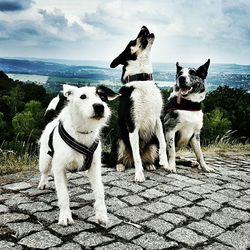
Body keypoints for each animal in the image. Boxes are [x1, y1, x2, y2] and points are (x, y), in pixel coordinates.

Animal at [37, 84, 119, 227]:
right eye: (83, 96)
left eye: (103, 97)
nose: (99, 106)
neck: (83, 131)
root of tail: (51, 122)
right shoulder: (59, 168)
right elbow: (63, 194)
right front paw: (65, 216)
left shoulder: (95, 168)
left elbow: (100, 191)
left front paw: (101, 215)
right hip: (45, 159)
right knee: (45, 172)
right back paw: (43, 183)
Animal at [109, 25, 168, 182]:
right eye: (132, 41)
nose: (144, 27)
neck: (142, 78)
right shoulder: (132, 124)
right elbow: (136, 156)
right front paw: (139, 174)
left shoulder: (157, 118)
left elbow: (163, 142)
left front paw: (165, 162)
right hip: (118, 140)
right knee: (123, 159)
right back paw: (120, 165)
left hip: (152, 143)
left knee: (147, 156)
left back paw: (150, 165)